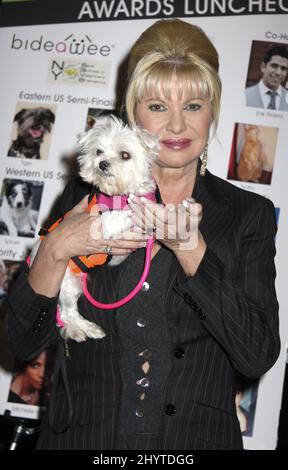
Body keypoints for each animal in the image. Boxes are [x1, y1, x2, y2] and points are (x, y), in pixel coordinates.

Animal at [29, 114, 158, 342]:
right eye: (99, 151)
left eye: (125, 155)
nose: (102, 163)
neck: (120, 193)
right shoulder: (105, 221)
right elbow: (125, 212)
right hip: (68, 283)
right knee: (67, 313)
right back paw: (87, 329)